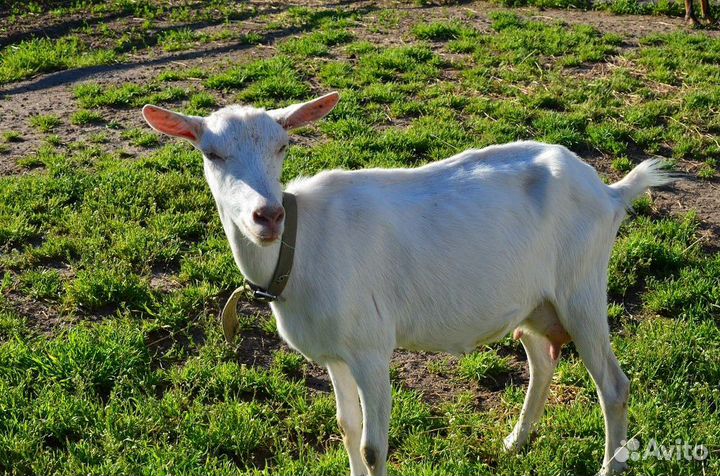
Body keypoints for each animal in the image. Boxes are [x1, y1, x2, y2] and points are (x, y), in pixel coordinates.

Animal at [142, 92, 673, 476]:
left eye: (283, 146)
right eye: (212, 153)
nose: (267, 215)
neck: (300, 245)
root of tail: (609, 192)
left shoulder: (370, 347)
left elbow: (374, 447)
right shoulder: (334, 352)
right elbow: (346, 426)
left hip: (581, 287)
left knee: (614, 386)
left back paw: (607, 467)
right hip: (533, 301)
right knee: (542, 361)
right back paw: (515, 441)